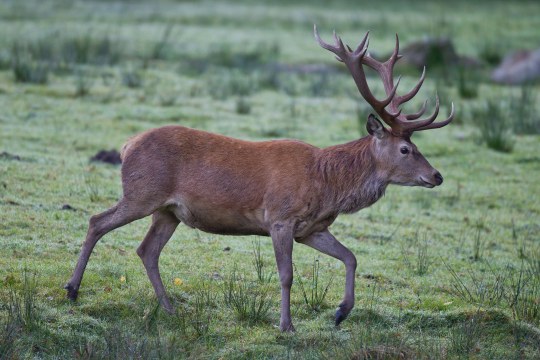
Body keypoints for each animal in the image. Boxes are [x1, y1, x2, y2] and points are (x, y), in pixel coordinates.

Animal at [66, 26, 456, 334]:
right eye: (406, 149)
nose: (437, 175)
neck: (326, 183)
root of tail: (127, 144)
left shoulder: (312, 228)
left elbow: (351, 257)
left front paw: (341, 312)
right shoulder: (280, 218)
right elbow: (287, 275)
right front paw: (286, 325)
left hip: (168, 211)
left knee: (147, 249)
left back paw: (171, 309)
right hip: (142, 193)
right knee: (97, 221)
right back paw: (72, 289)